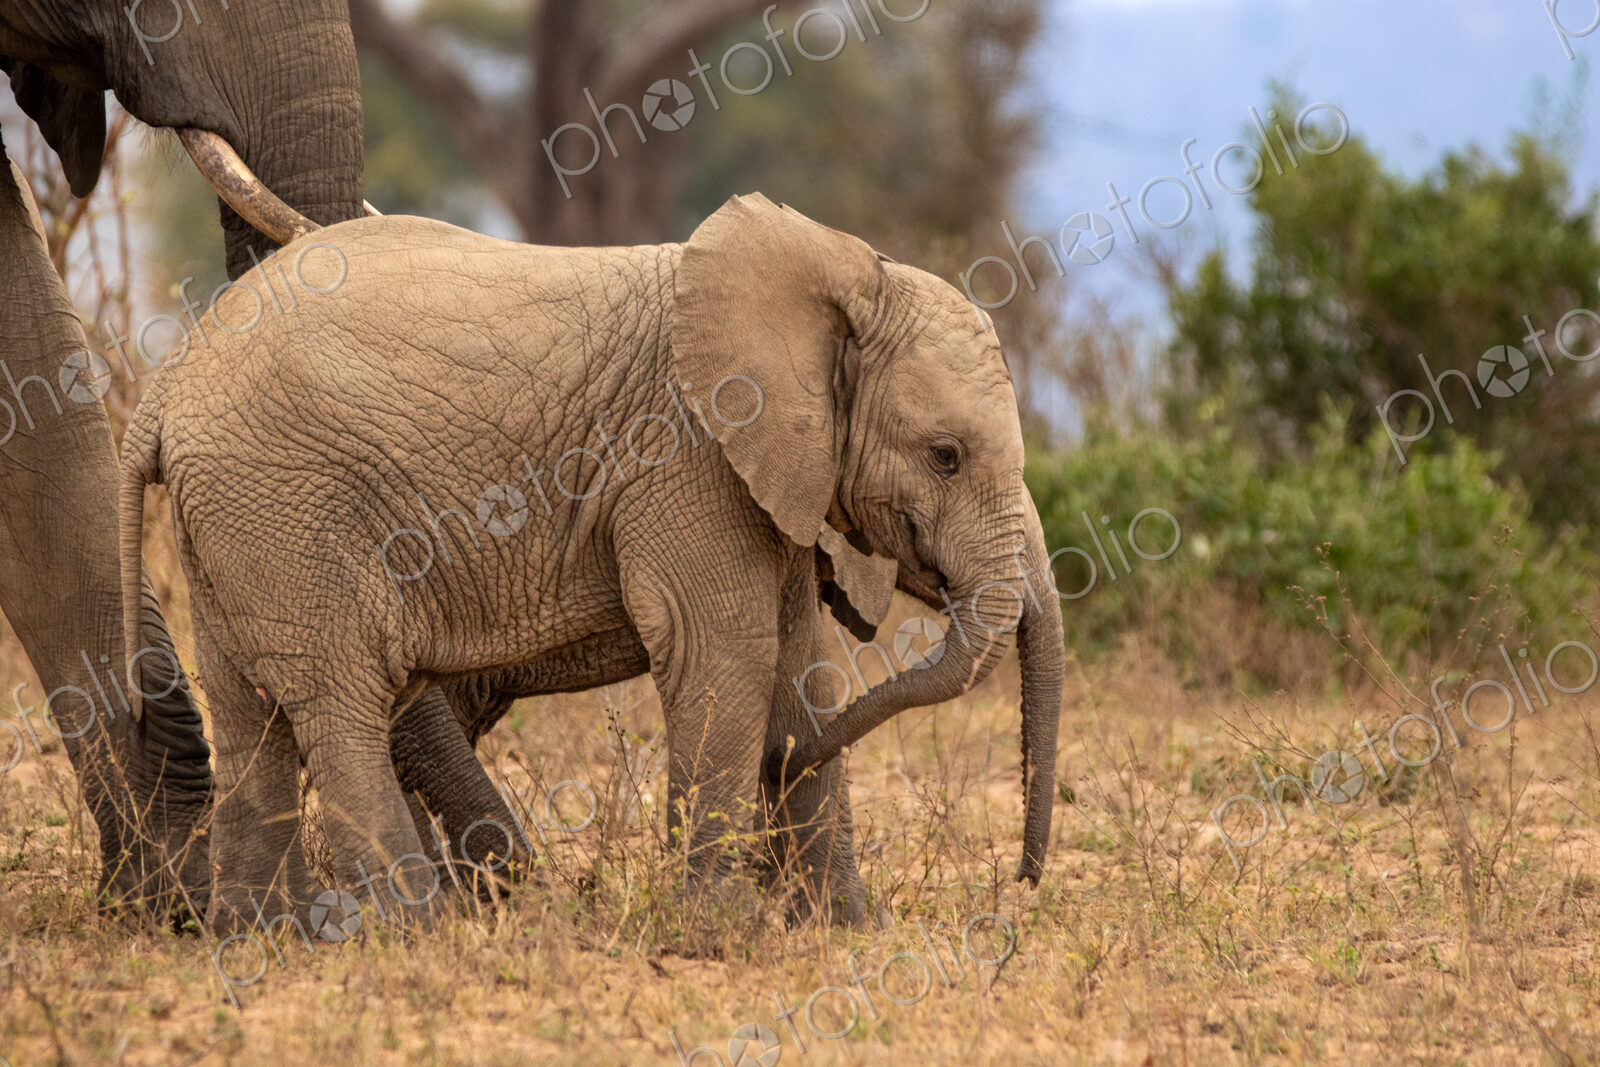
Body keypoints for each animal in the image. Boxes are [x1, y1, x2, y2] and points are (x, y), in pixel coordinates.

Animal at [116, 193, 1065, 933]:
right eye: (946, 456)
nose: (1024, 883)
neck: (836, 272)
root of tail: (165, 388)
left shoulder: (768, 471)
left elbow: (801, 664)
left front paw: (842, 928)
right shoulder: (687, 457)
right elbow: (728, 650)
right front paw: (716, 929)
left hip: (235, 521)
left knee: (251, 708)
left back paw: (269, 936)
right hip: (287, 506)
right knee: (340, 699)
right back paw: (418, 933)